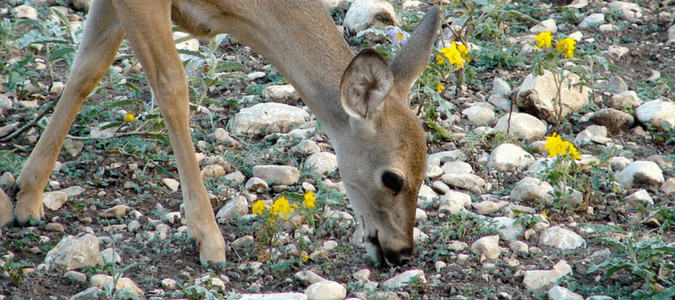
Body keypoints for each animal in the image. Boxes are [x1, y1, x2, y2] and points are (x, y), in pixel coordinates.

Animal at [0, 0, 440, 266]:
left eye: (424, 173)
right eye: (393, 178)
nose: (402, 251)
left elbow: (87, 68)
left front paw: (28, 196)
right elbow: (172, 85)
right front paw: (208, 239)